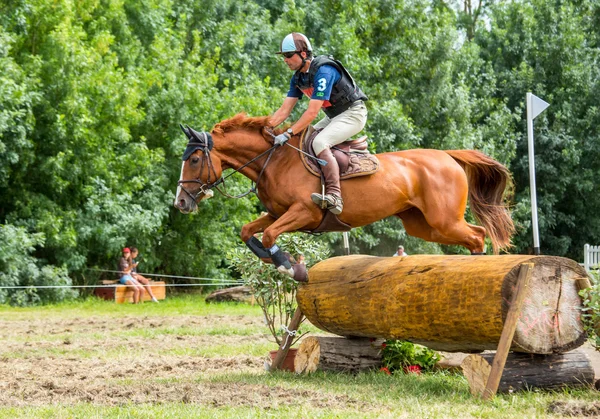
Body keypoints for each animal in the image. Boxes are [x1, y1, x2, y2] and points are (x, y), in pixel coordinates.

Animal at [175, 114, 516, 282]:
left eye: (194, 159)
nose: (180, 203)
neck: (274, 160)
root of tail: (448, 156)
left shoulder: (305, 212)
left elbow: (270, 234)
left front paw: (290, 268)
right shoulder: (278, 213)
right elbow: (249, 232)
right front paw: (283, 262)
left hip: (443, 220)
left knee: (477, 235)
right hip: (423, 225)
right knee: (474, 235)